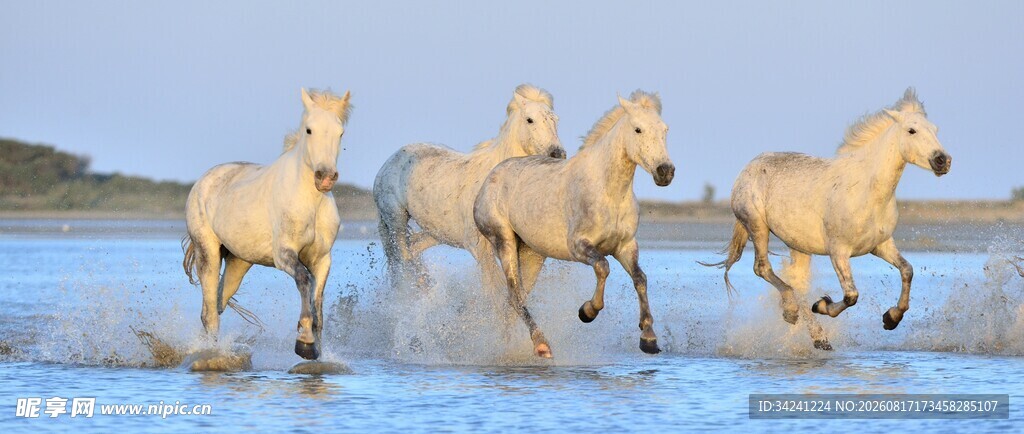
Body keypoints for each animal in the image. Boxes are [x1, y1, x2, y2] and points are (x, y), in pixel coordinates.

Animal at [183, 87, 352, 360]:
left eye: (340, 132)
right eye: (309, 130)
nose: (325, 178)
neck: (311, 201)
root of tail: (203, 180)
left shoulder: (322, 258)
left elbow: (318, 302)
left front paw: (315, 347)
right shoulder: (284, 255)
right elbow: (304, 280)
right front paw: (304, 341)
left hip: (239, 262)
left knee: (218, 303)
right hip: (207, 252)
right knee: (209, 312)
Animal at [373, 84, 564, 291]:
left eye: (555, 120)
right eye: (530, 120)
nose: (558, 153)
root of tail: (391, 160)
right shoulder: (481, 249)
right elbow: (495, 289)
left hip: (436, 233)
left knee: (412, 252)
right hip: (396, 221)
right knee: (403, 260)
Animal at [474, 91, 675, 358]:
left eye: (664, 129)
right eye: (638, 129)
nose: (665, 172)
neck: (609, 191)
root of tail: (491, 177)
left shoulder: (626, 246)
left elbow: (640, 279)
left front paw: (649, 338)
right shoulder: (579, 246)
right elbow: (602, 267)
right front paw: (587, 312)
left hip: (530, 252)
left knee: (516, 298)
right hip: (503, 240)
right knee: (515, 294)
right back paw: (541, 345)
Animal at [701, 88, 951, 349]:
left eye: (935, 130)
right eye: (911, 130)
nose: (943, 160)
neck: (866, 190)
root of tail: (747, 168)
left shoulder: (881, 245)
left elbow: (907, 271)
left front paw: (891, 318)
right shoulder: (838, 251)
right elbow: (851, 296)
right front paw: (822, 304)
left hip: (798, 245)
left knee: (797, 283)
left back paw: (818, 337)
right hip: (757, 226)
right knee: (763, 269)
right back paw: (792, 312)